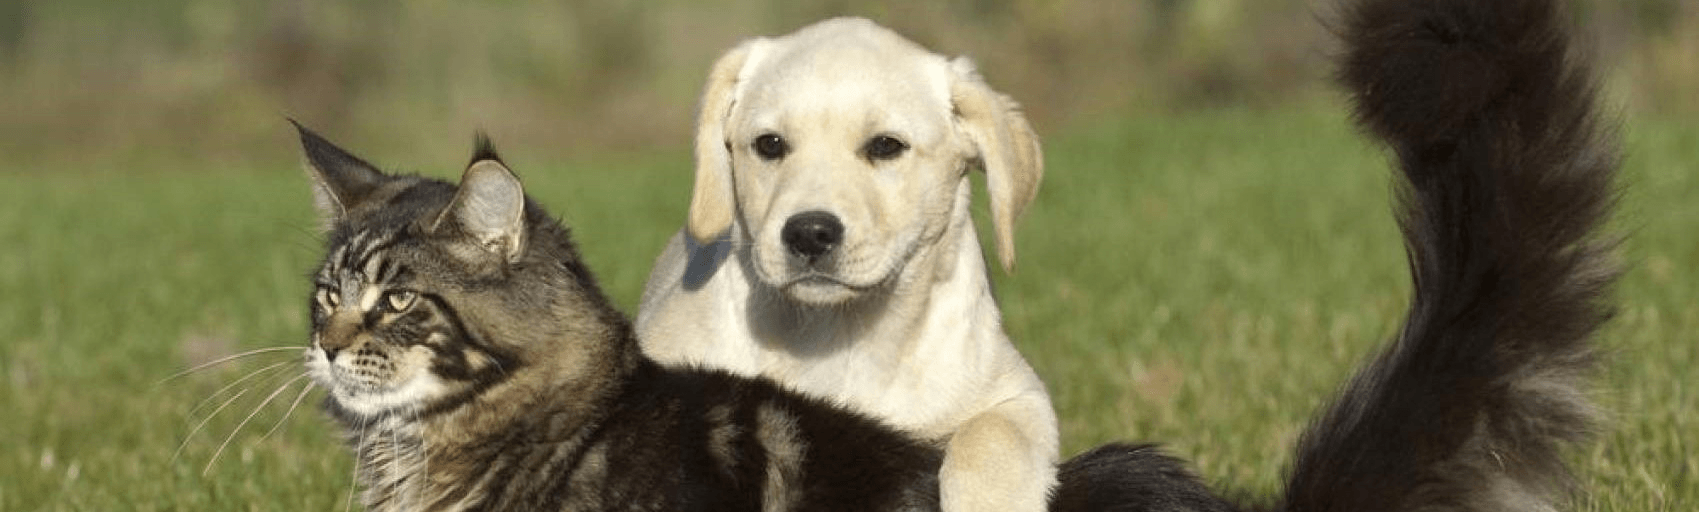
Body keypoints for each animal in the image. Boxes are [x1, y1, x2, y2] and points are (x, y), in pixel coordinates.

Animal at [636, 18, 1055, 512]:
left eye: (886, 146)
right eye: (769, 145)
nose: (809, 233)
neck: (834, 333)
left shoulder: (1018, 393)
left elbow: (991, 439)